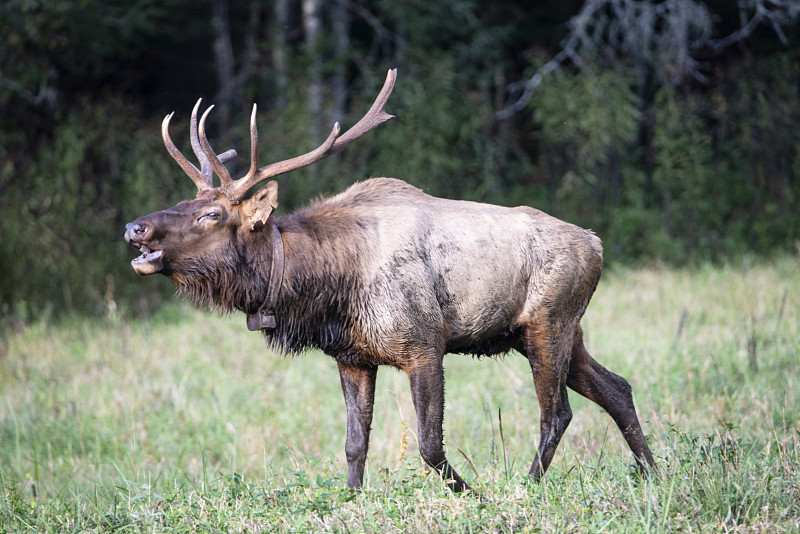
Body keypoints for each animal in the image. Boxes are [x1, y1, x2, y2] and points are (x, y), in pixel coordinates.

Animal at [123, 70, 648, 494]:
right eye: (184, 202)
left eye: (211, 214)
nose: (135, 227)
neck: (326, 288)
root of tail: (596, 244)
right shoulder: (353, 356)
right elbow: (355, 445)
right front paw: (351, 500)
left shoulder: (424, 344)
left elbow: (429, 446)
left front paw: (475, 494)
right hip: (554, 331)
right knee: (617, 388)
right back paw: (652, 472)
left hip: (548, 323)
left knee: (557, 412)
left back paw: (528, 485)